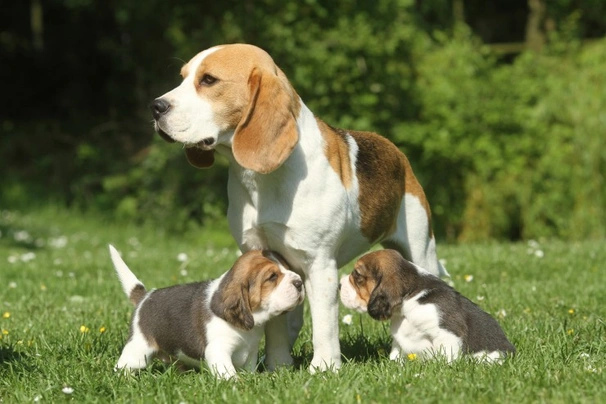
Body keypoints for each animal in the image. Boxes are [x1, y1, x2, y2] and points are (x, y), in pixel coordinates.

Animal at [110, 245, 306, 380]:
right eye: (272, 277)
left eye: (288, 268)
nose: (299, 282)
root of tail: (145, 296)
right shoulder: (218, 350)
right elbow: (229, 374)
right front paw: (238, 385)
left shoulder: (251, 351)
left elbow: (249, 368)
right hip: (138, 349)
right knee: (123, 366)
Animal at [340, 249, 516, 362]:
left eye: (357, 275)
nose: (339, 285)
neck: (410, 301)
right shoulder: (398, 342)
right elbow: (395, 356)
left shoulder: (447, 333)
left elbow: (446, 358)